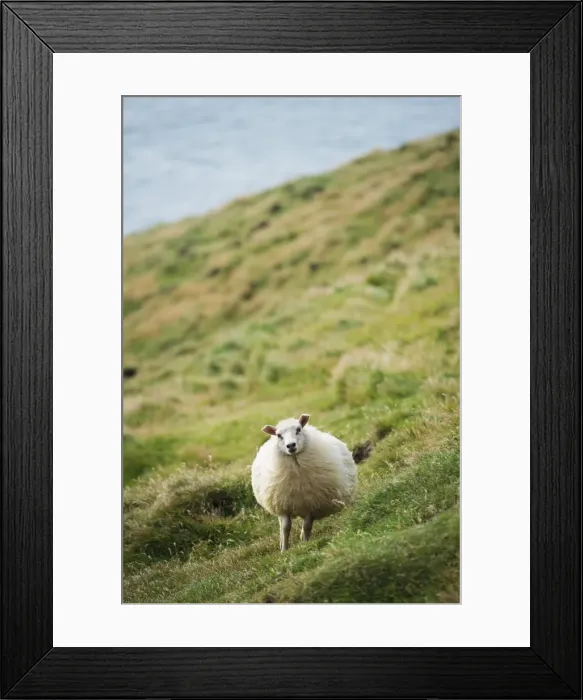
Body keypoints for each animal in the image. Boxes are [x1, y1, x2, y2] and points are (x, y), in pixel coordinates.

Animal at [251, 413, 357, 551]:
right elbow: (285, 527)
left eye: (298, 429)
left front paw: (305, 543)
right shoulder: (283, 505)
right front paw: (284, 549)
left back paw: (302, 538)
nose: (291, 445)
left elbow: (306, 525)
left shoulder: (309, 504)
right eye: (279, 435)